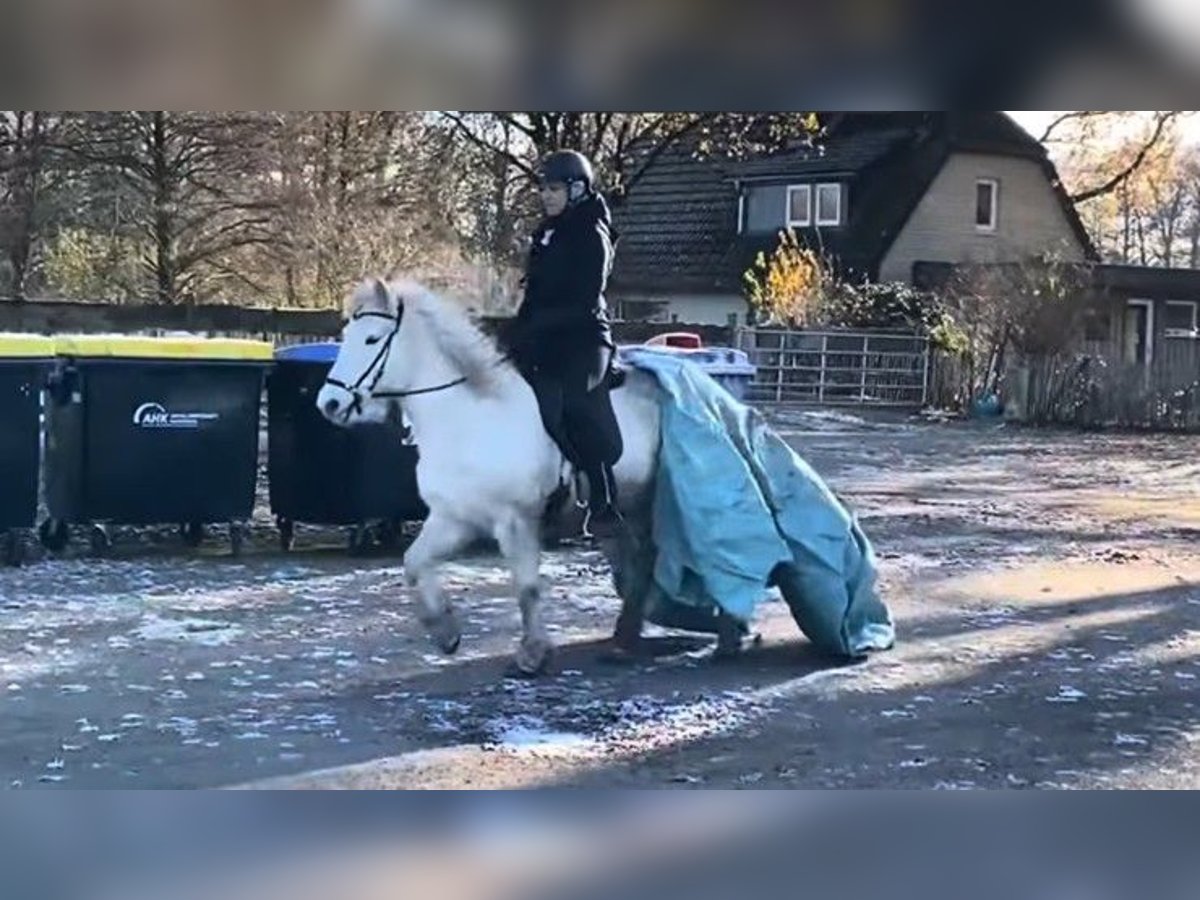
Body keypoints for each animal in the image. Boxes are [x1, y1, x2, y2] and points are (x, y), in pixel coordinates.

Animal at [315, 277, 664, 676]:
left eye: (372, 339)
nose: (328, 404)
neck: (471, 418)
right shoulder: (454, 518)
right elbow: (414, 562)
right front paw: (445, 632)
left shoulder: (516, 520)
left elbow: (526, 587)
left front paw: (532, 653)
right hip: (633, 508)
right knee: (642, 560)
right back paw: (625, 637)